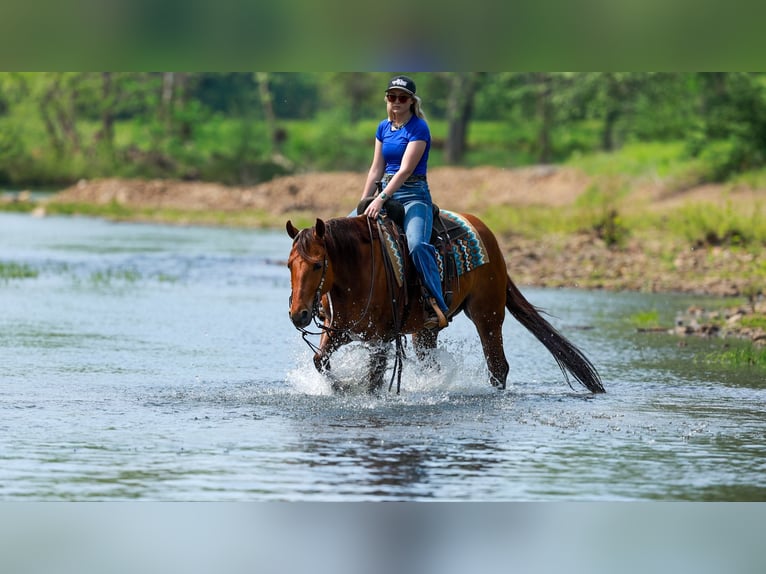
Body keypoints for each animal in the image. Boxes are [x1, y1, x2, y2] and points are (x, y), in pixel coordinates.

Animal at [286, 211, 604, 395]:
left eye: (317, 265)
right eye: (290, 265)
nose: (298, 314)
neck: (357, 270)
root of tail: (485, 232)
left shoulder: (382, 337)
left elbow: (374, 379)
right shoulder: (339, 330)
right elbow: (320, 361)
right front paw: (343, 387)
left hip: (487, 315)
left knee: (498, 367)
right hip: (425, 330)